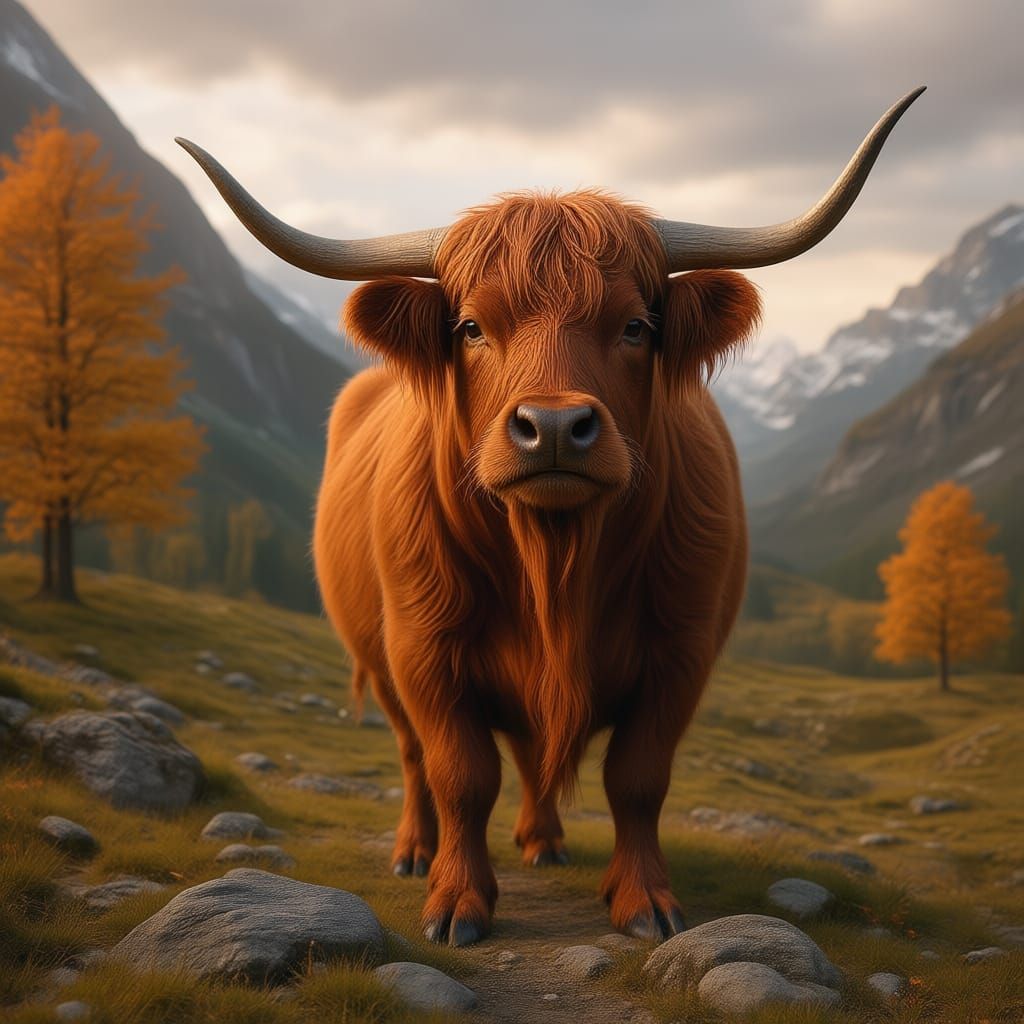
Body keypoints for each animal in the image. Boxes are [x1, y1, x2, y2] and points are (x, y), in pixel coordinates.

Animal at [178, 87, 922, 946]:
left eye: (636, 326)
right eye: (471, 326)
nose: (558, 427)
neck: (555, 563)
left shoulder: (682, 653)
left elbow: (637, 777)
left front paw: (645, 901)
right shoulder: (423, 651)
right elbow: (461, 773)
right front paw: (456, 900)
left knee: (537, 754)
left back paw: (543, 839)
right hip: (378, 655)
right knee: (413, 758)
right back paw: (414, 852)